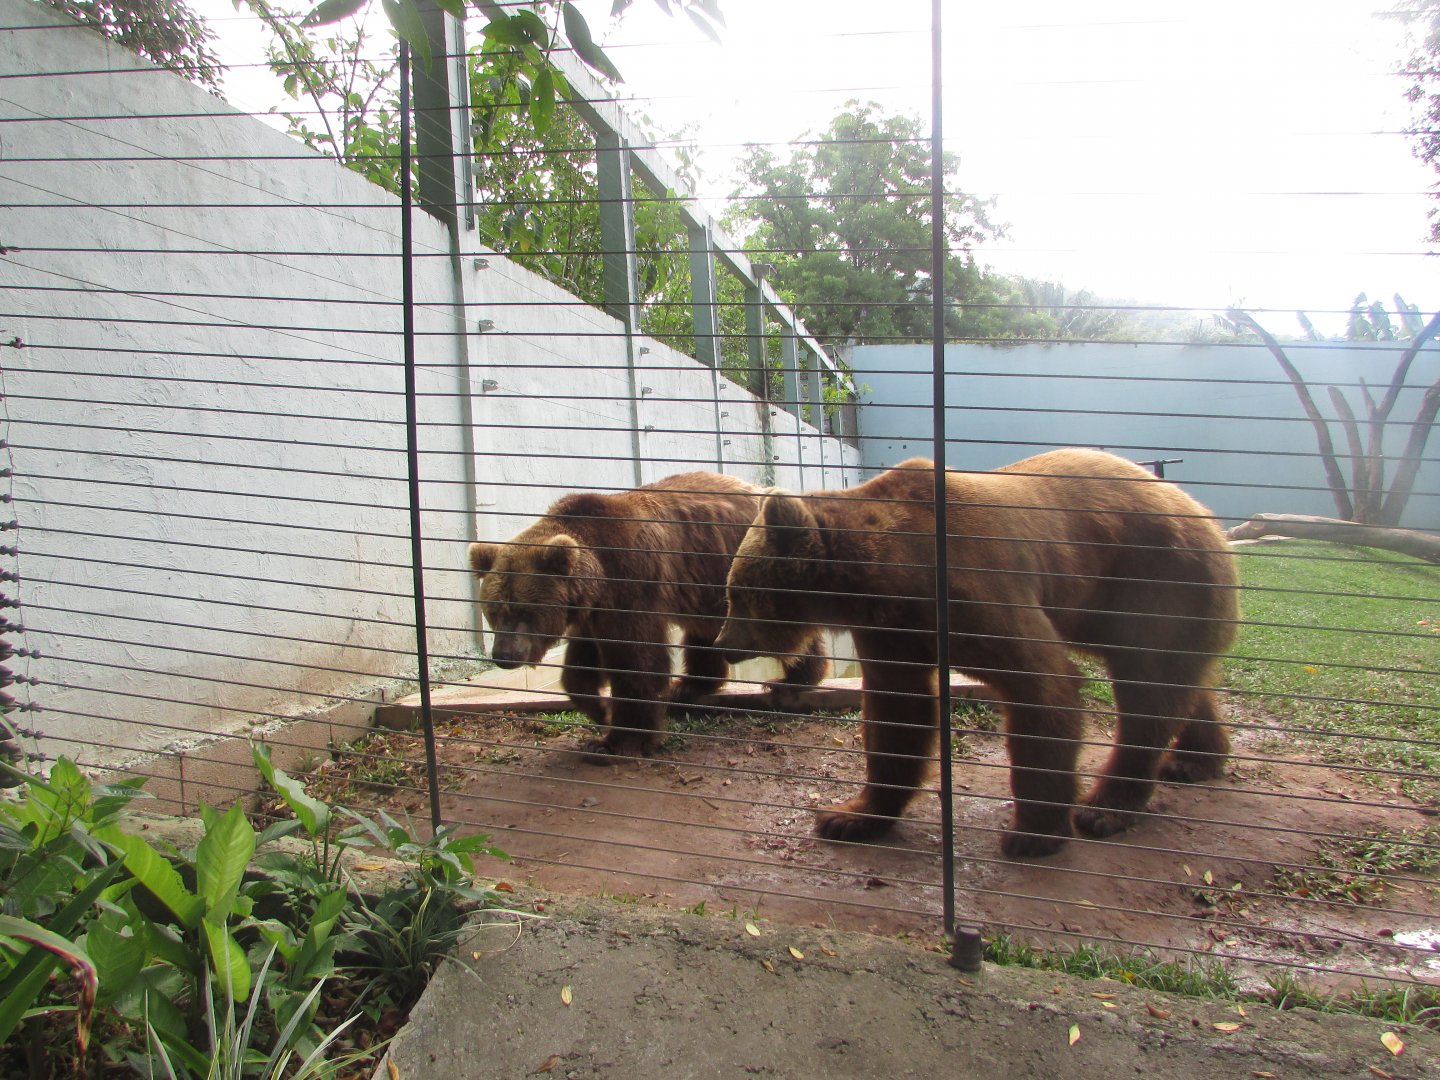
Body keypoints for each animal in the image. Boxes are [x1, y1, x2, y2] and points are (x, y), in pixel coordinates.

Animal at [468, 471, 831, 757]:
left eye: (525, 612)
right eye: (493, 612)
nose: (504, 655)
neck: (596, 574)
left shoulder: (630, 584)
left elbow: (637, 663)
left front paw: (617, 740)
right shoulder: (594, 610)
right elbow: (582, 663)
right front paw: (600, 710)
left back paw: (791, 681)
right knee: (707, 631)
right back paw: (690, 686)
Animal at [713, 448, 1239, 857]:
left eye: (736, 594)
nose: (723, 644)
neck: (892, 573)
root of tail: (1204, 513)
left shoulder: (973, 590)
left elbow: (1041, 684)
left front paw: (1033, 832)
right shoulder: (892, 630)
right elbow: (898, 711)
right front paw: (851, 815)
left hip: (1157, 578)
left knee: (1148, 688)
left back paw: (1104, 807)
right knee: (1178, 683)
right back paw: (1194, 759)